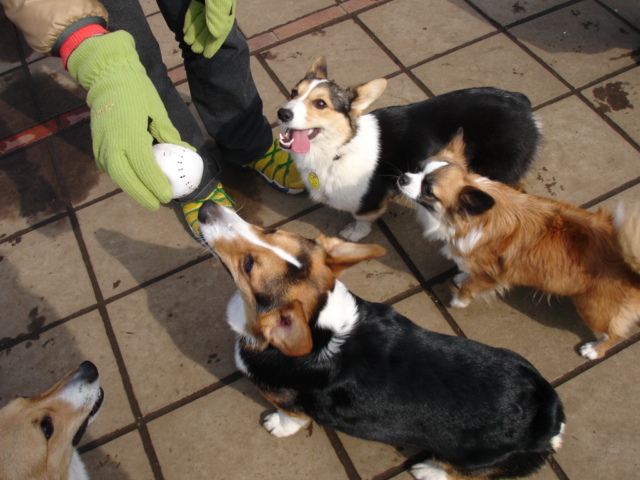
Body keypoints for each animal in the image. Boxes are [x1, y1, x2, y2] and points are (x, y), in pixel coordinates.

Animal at [198, 202, 564, 480]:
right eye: (270, 232)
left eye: (248, 265)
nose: (205, 209)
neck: (318, 320)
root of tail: (548, 414)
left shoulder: (287, 402)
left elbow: (292, 419)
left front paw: (276, 425)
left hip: (469, 456)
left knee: (459, 471)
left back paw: (428, 470)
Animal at [276, 57, 540, 240]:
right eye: (293, 92)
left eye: (320, 104)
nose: (282, 113)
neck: (337, 150)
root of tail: (521, 103)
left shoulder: (369, 201)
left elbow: (361, 219)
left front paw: (354, 233)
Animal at [400, 132, 640, 360]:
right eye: (418, 168)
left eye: (428, 190)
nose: (403, 177)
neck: (471, 220)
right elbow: (468, 274)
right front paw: (461, 276)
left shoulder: (494, 275)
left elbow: (471, 287)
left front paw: (459, 300)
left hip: (592, 309)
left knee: (614, 333)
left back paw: (595, 350)